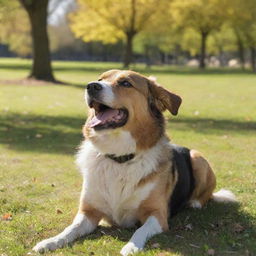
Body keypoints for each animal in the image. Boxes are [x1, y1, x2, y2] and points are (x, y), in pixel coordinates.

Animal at [33, 69, 237, 255]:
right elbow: (71, 229)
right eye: (100, 79)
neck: (119, 158)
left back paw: (193, 202)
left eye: (125, 83)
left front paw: (131, 247)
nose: (91, 86)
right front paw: (50, 241)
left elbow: (140, 230)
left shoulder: (157, 215)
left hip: (198, 158)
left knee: (204, 196)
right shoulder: (88, 213)